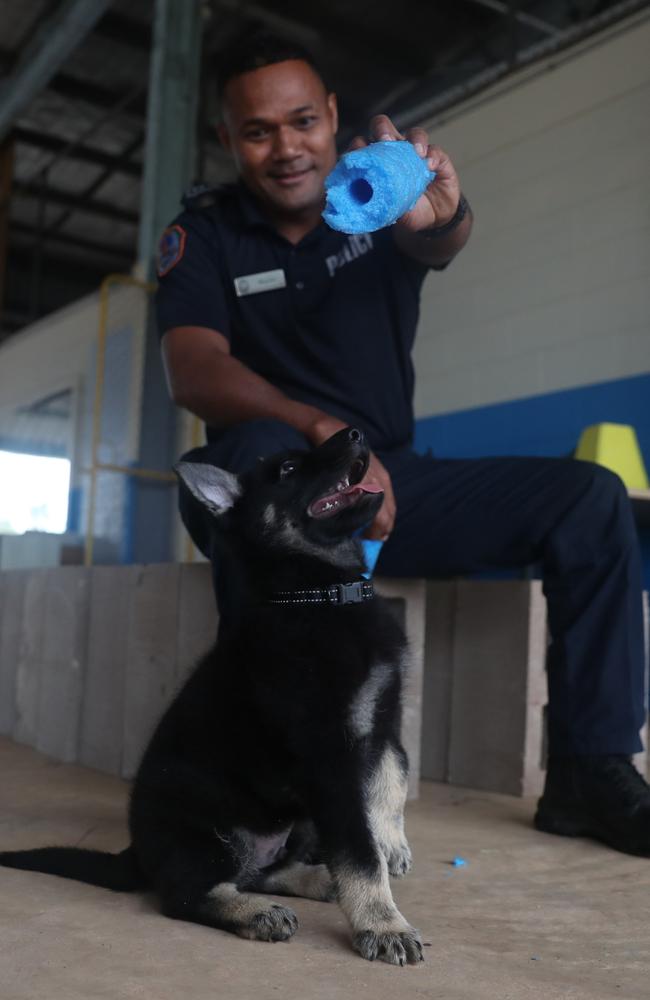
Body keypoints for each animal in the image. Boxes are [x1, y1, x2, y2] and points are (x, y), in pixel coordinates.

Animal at [0, 426, 420, 964]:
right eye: (288, 469)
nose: (355, 432)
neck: (321, 593)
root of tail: (137, 853)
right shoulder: (330, 760)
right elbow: (359, 851)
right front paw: (384, 925)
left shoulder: (381, 723)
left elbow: (391, 784)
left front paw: (393, 847)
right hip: (206, 831)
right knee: (185, 893)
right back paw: (257, 912)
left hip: (294, 820)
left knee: (260, 871)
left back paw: (315, 879)